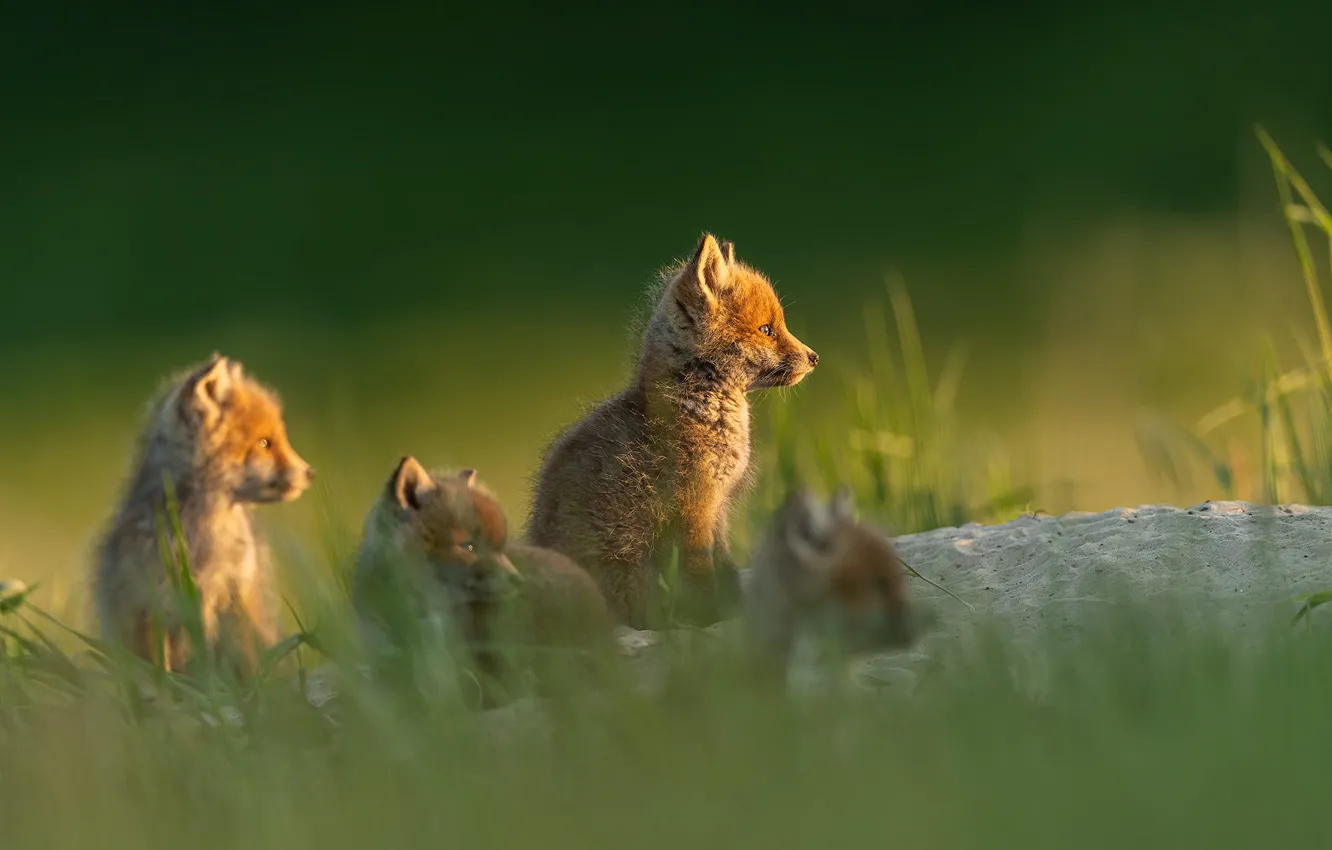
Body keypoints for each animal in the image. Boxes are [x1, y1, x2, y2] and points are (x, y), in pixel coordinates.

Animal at [91, 353, 315, 679]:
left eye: (279, 439)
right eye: (265, 443)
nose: (310, 473)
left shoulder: (235, 596)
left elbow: (242, 663)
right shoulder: (153, 606)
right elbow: (165, 672)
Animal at [526, 233, 819, 629]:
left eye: (778, 326)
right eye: (766, 330)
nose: (814, 356)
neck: (698, 408)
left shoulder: (718, 508)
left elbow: (725, 565)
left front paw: (733, 607)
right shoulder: (694, 507)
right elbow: (702, 575)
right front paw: (710, 617)